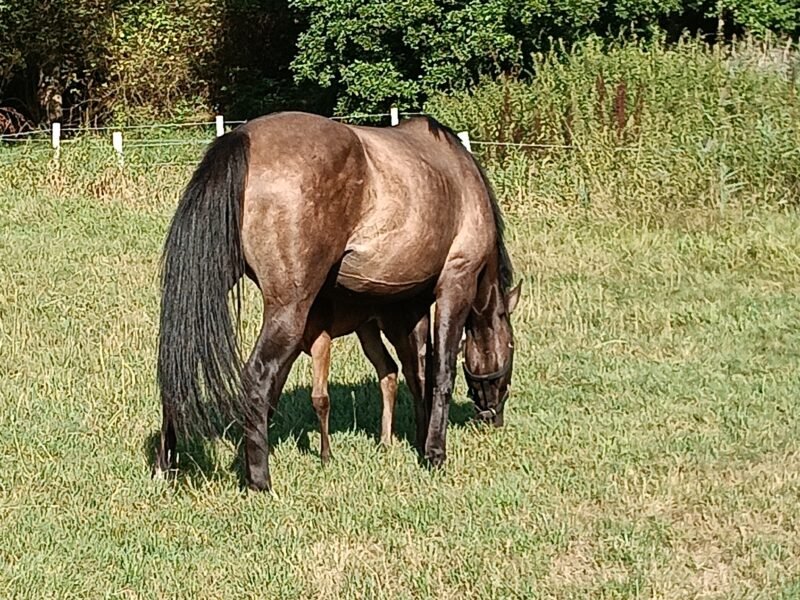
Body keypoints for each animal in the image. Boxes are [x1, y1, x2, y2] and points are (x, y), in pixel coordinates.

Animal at [156, 112, 520, 491]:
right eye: (511, 346)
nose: (493, 416)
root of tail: (241, 137)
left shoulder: (409, 305)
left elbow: (419, 370)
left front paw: (420, 441)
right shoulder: (456, 282)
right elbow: (442, 372)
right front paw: (434, 453)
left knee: (178, 364)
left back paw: (167, 464)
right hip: (290, 308)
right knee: (257, 376)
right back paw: (259, 480)